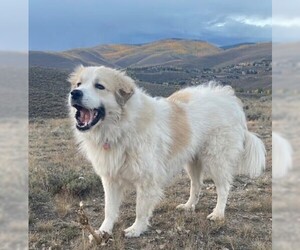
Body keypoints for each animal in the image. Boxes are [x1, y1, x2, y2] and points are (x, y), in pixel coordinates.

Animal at [67, 65, 264, 237]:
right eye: (78, 84)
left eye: (99, 86)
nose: (74, 93)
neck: (121, 127)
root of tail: (229, 99)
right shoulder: (110, 178)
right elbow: (109, 209)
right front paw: (103, 231)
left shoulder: (147, 180)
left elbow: (140, 208)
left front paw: (136, 229)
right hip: (192, 161)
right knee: (196, 185)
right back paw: (188, 206)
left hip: (216, 159)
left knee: (223, 188)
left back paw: (218, 213)